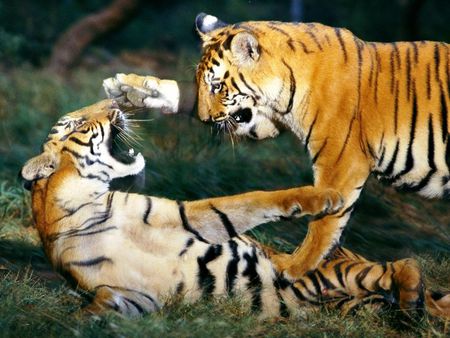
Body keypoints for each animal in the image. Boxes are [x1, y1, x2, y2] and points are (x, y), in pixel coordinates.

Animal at [19, 98, 448, 320]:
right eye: (79, 123)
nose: (115, 104)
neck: (86, 202)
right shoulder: (131, 294)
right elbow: (99, 305)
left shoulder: (186, 217)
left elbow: (251, 200)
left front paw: (325, 197)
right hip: (346, 290)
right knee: (402, 272)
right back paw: (413, 308)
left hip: (341, 269)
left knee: (405, 264)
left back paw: (414, 304)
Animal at [106, 13, 450, 280]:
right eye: (204, 84)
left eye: (217, 85)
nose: (205, 119)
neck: (284, 86)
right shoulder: (260, 120)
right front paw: (135, 88)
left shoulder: (342, 161)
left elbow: (324, 224)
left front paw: (292, 268)